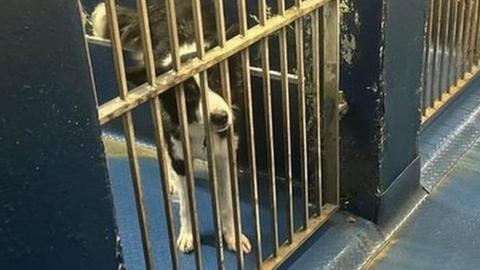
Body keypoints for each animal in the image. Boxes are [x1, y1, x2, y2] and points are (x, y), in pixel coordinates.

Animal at [91, 0, 253, 253]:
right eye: (189, 95)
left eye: (217, 81)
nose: (220, 118)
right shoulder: (179, 151)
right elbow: (187, 206)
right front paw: (188, 234)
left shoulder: (226, 153)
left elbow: (227, 202)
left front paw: (232, 236)